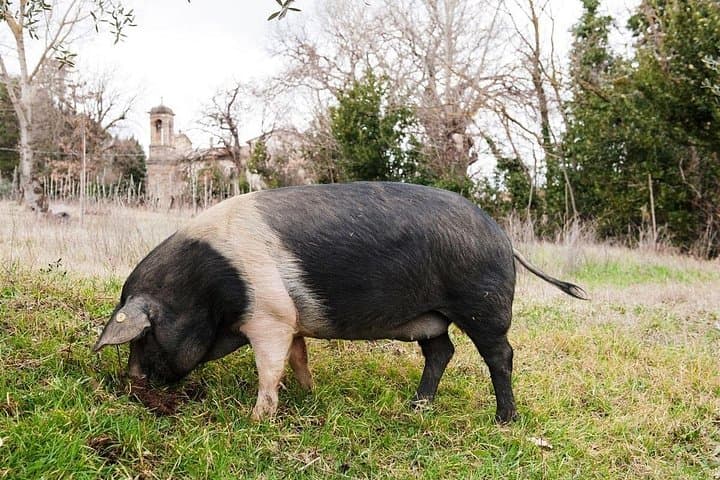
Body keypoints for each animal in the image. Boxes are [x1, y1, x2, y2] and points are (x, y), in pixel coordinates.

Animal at [94, 182, 587, 423]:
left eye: (144, 336)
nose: (132, 383)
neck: (207, 289)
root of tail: (503, 236)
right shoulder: (290, 318)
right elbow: (297, 357)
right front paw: (309, 394)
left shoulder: (270, 315)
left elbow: (269, 367)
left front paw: (256, 420)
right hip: (431, 317)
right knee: (442, 351)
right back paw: (416, 407)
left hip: (483, 305)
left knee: (500, 355)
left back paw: (505, 420)